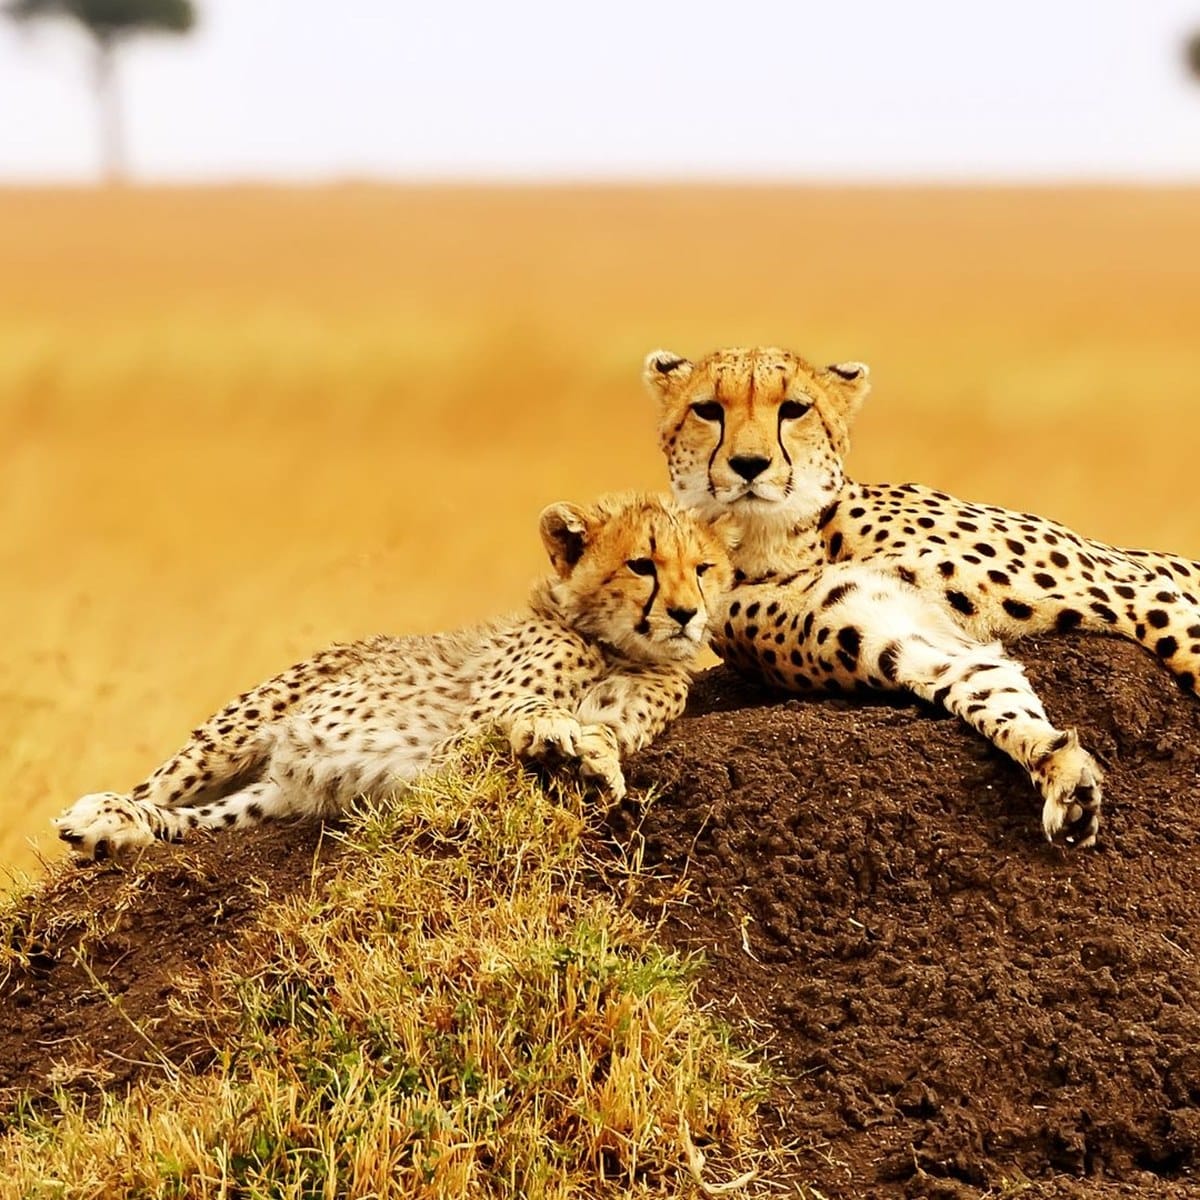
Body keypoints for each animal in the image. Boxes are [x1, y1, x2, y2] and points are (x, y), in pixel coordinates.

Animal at [54, 492, 732, 860]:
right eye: (642, 565)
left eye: (703, 568)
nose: (685, 614)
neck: (616, 647)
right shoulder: (459, 741)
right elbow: (524, 715)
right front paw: (551, 733)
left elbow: (607, 734)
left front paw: (592, 759)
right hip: (236, 734)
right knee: (155, 790)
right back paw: (101, 813)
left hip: (271, 796)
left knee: (189, 823)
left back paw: (115, 831)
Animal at [645, 344, 1200, 850]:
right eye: (708, 409)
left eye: (794, 409)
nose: (749, 465)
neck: (782, 538)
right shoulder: (910, 641)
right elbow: (985, 688)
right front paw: (1060, 771)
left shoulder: (1134, 588)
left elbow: (1184, 642)